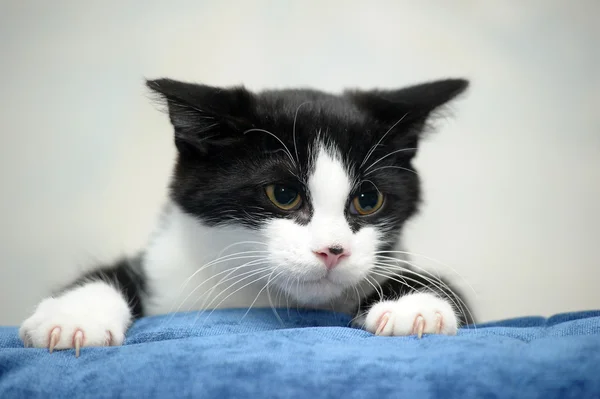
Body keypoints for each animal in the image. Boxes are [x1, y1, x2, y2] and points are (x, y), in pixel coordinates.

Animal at [17, 77, 474, 356]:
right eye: (284, 195)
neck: (264, 295)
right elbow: (113, 273)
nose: (334, 251)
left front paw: (416, 304)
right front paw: (73, 318)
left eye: (367, 199)